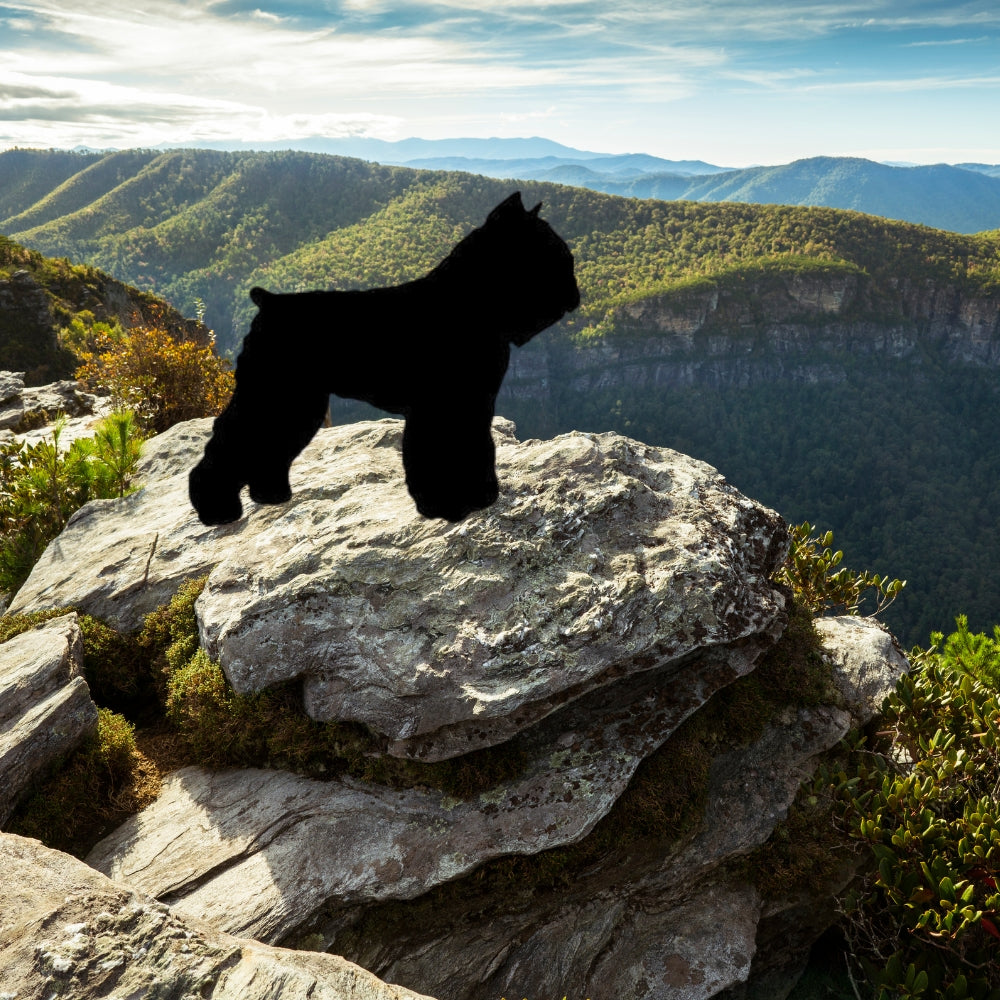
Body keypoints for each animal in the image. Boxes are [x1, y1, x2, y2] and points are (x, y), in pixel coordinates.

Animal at [189, 190, 580, 528]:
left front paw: (479, 498)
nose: (574, 297)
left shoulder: (473, 403)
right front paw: (447, 507)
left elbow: (474, 446)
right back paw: (218, 511)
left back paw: (271, 495)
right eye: (549, 253)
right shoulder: (440, 406)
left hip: (297, 402)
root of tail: (267, 301)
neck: (469, 303)